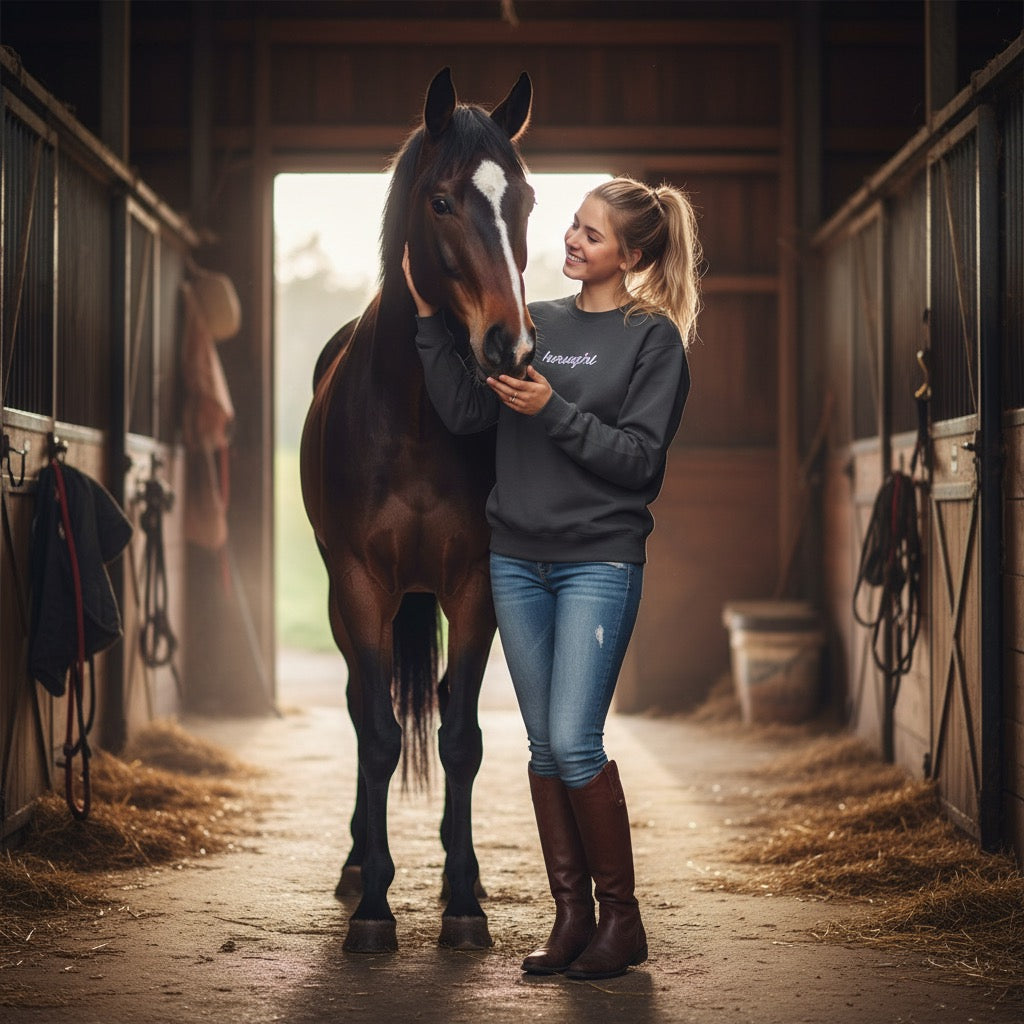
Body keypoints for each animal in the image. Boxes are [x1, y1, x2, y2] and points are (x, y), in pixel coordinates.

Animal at [299, 67, 535, 954]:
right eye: (441, 202)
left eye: (525, 200)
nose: (511, 346)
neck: (417, 414)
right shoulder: (362, 586)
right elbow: (376, 735)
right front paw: (373, 908)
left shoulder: (473, 587)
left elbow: (460, 738)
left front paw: (464, 902)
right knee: (361, 709)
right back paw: (358, 864)